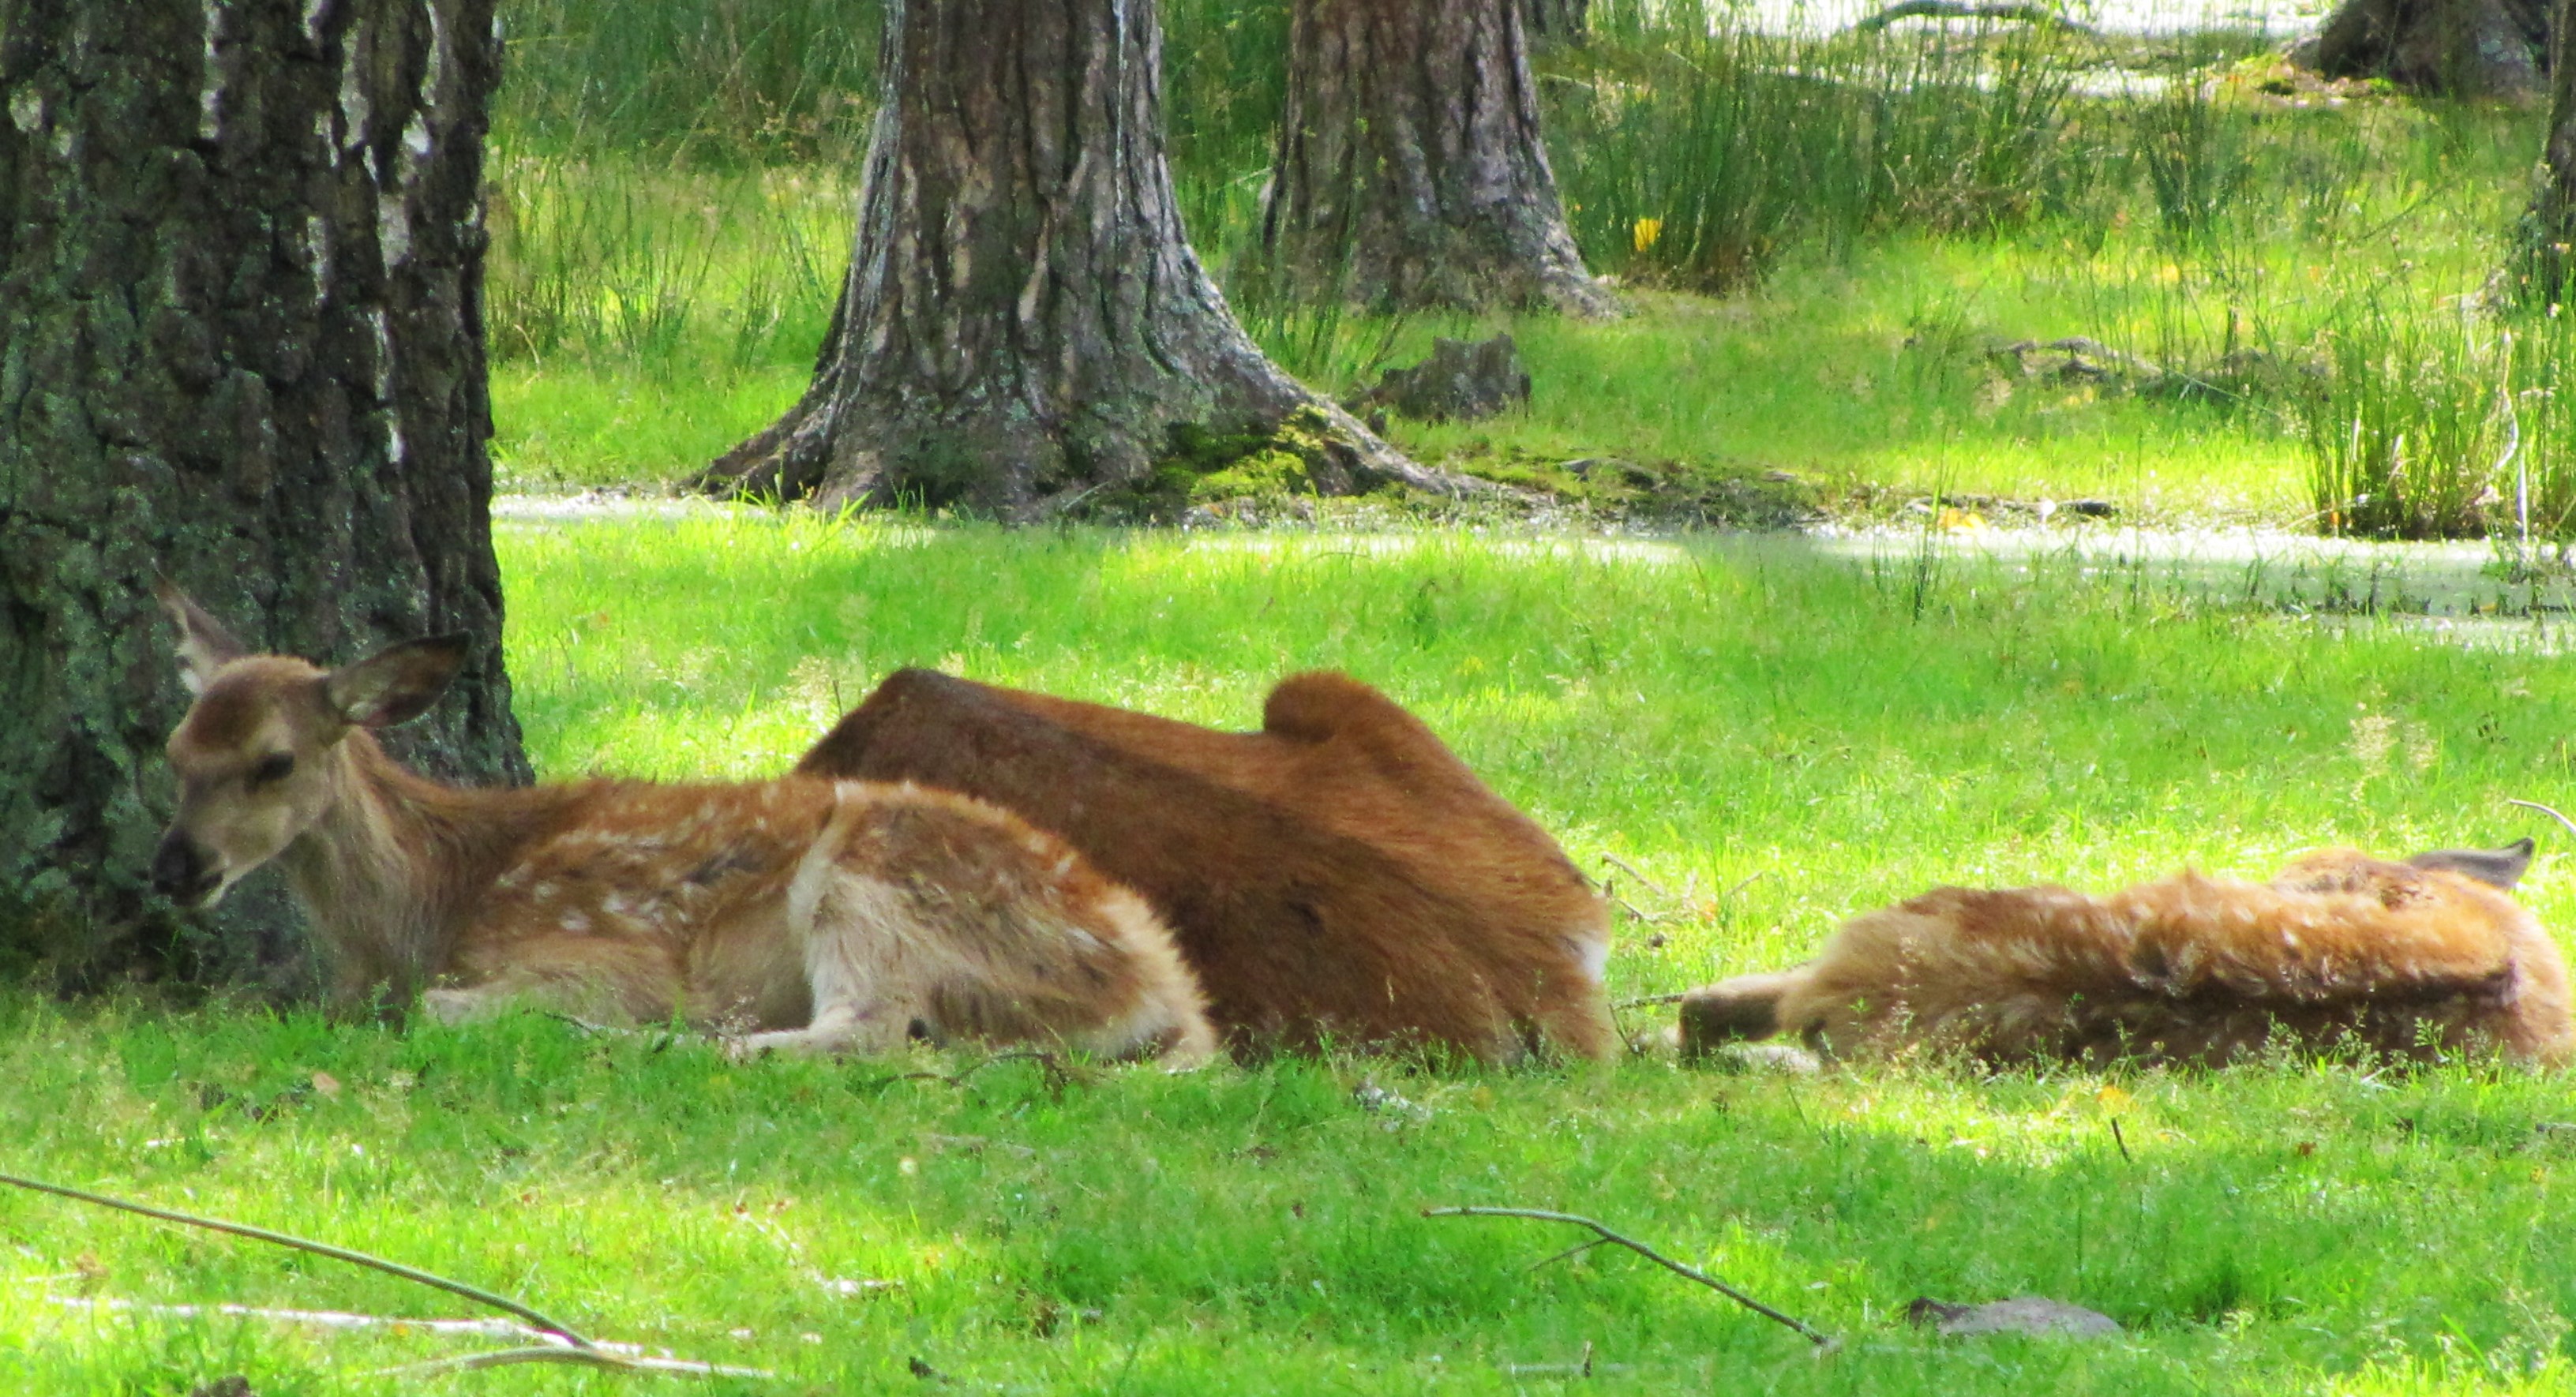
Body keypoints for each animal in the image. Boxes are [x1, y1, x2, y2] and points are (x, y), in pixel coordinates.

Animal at [146, 585, 1210, 1066]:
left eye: (275, 761)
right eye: (173, 749)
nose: (175, 869)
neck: (434, 902)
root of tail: (1162, 991)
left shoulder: (597, 951)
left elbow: (436, 1007)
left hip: (878, 883)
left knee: (865, 1031)